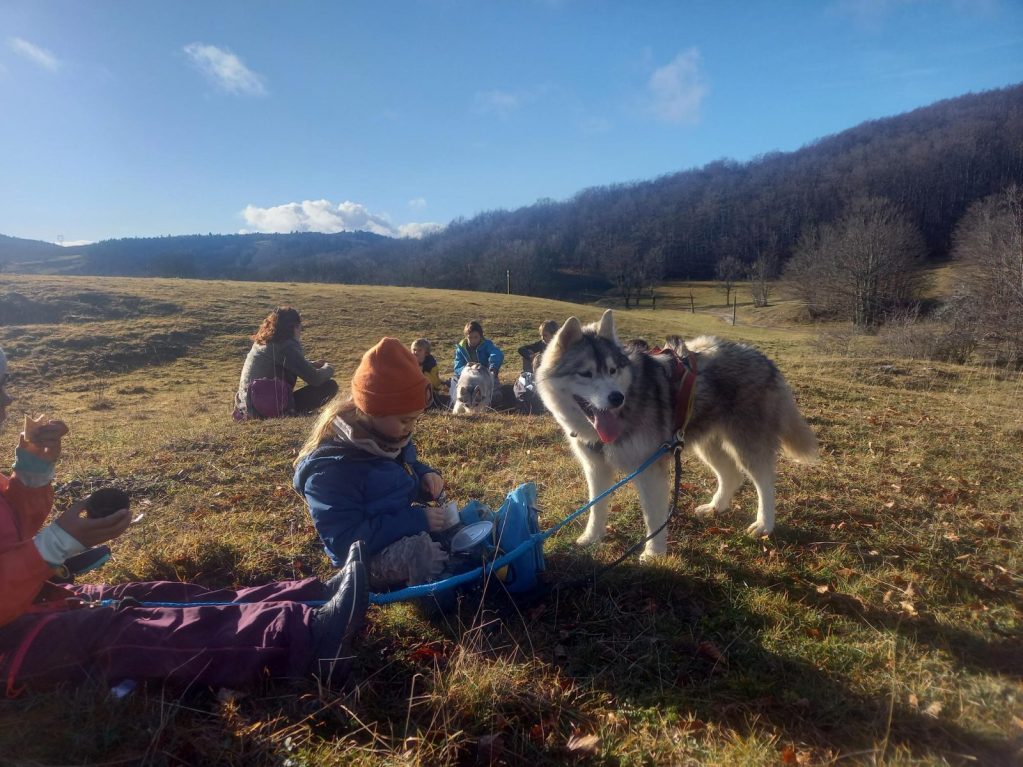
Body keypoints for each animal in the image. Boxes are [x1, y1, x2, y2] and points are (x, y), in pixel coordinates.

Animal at [535, 310, 818, 558]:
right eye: (585, 373)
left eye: (613, 370)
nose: (617, 398)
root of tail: (763, 358)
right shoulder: (596, 468)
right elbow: (596, 506)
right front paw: (591, 538)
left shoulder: (649, 470)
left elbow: (653, 517)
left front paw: (653, 553)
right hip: (707, 444)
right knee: (732, 474)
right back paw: (716, 507)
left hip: (747, 444)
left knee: (765, 483)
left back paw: (764, 525)